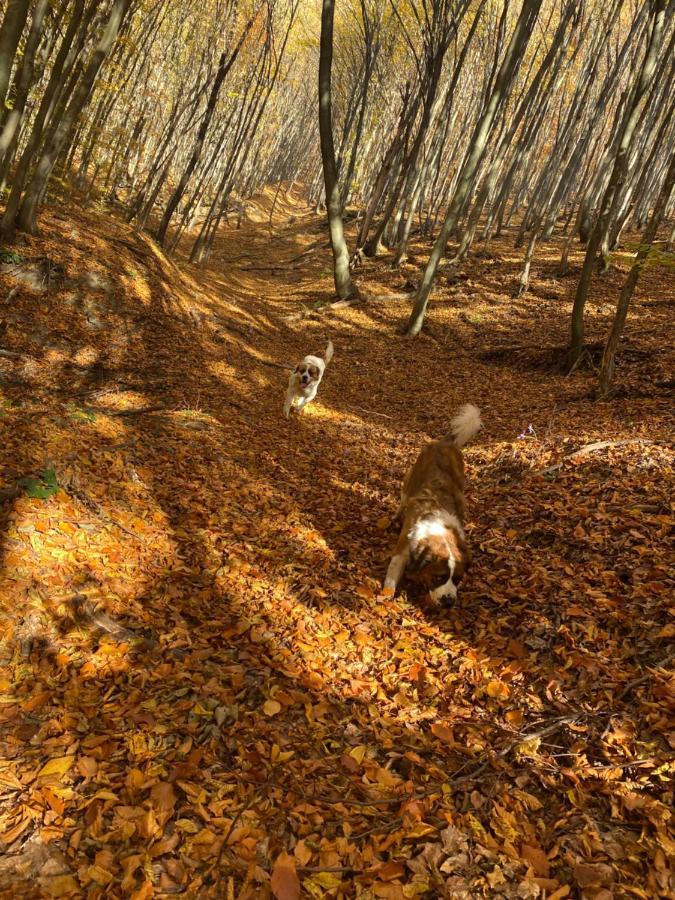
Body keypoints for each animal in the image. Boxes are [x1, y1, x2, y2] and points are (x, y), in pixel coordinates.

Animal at [386, 406, 480, 604]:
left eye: (457, 579)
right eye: (439, 578)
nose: (449, 602)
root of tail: (445, 442)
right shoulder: (403, 549)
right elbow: (391, 577)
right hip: (408, 482)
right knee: (403, 500)